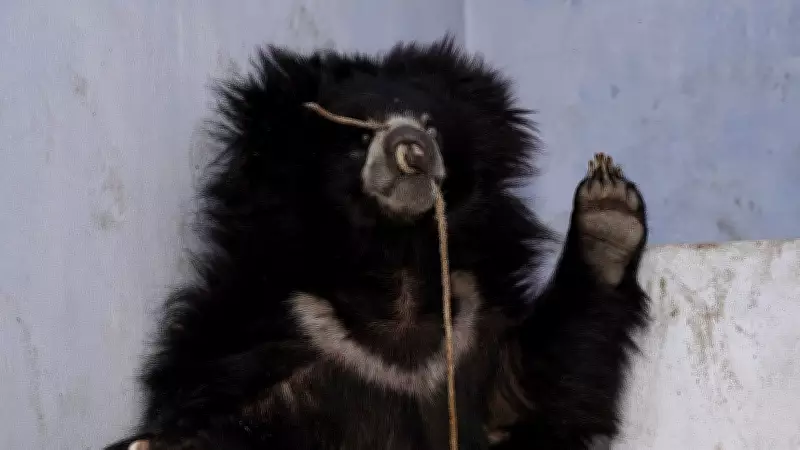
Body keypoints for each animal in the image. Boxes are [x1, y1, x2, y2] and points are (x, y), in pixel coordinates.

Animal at [105, 36, 649, 450]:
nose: (413, 150)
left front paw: (608, 215)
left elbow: (534, 387)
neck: (396, 266)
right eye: (359, 138)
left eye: (431, 126)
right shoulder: (268, 333)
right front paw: (160, 442)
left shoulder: (474, 330)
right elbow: (240, 412)